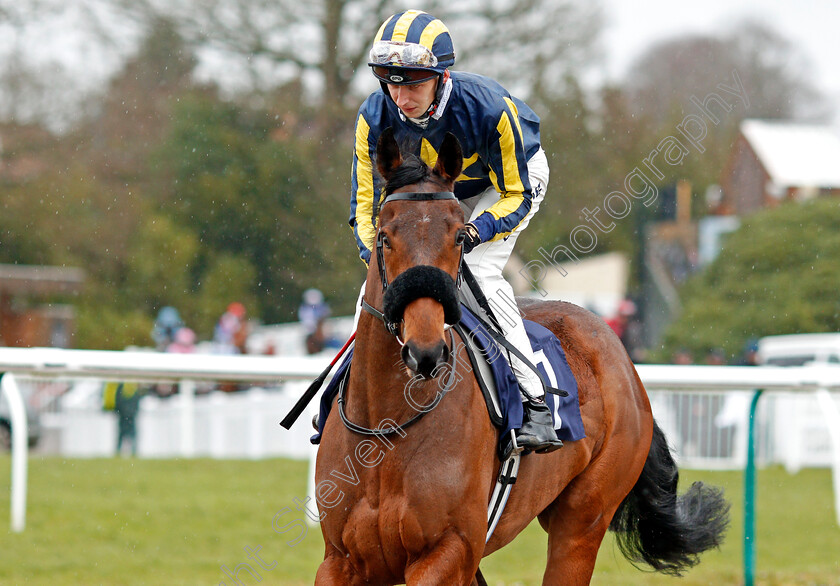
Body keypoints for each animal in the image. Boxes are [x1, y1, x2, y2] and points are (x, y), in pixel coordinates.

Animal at [316, 130, 728, 580]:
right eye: (385, 238)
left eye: (458, 237)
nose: (426, 351)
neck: (387, 428)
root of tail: (623, 357)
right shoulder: (340, 560)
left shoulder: (448, 550)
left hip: (583, 519)